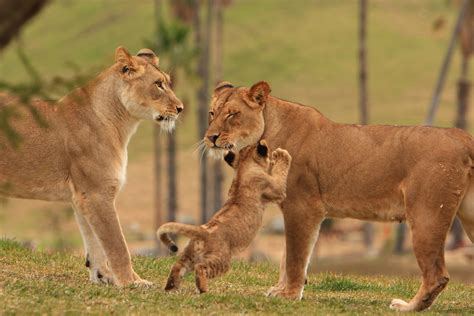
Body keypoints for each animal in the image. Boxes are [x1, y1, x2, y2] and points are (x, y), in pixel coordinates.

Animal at [0, 46, 183, 286]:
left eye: (168, 82)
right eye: (158, 84)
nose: (181, 108)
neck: (120, 124)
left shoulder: (81, 197)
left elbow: (94, 243)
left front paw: (103, 277)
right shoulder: (98, 193)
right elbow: (117, 245)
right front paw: (132, 282)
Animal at [206, 81, 474, 312]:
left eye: (232, 114)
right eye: (211, 113)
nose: (211, 137)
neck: (267, 132)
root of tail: (463, 137)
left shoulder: (302, 206)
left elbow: (294, 256)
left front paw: (289, 295)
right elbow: (287, 255)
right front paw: (281, 290)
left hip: (426, 215)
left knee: (436, 274)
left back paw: (406, 307)